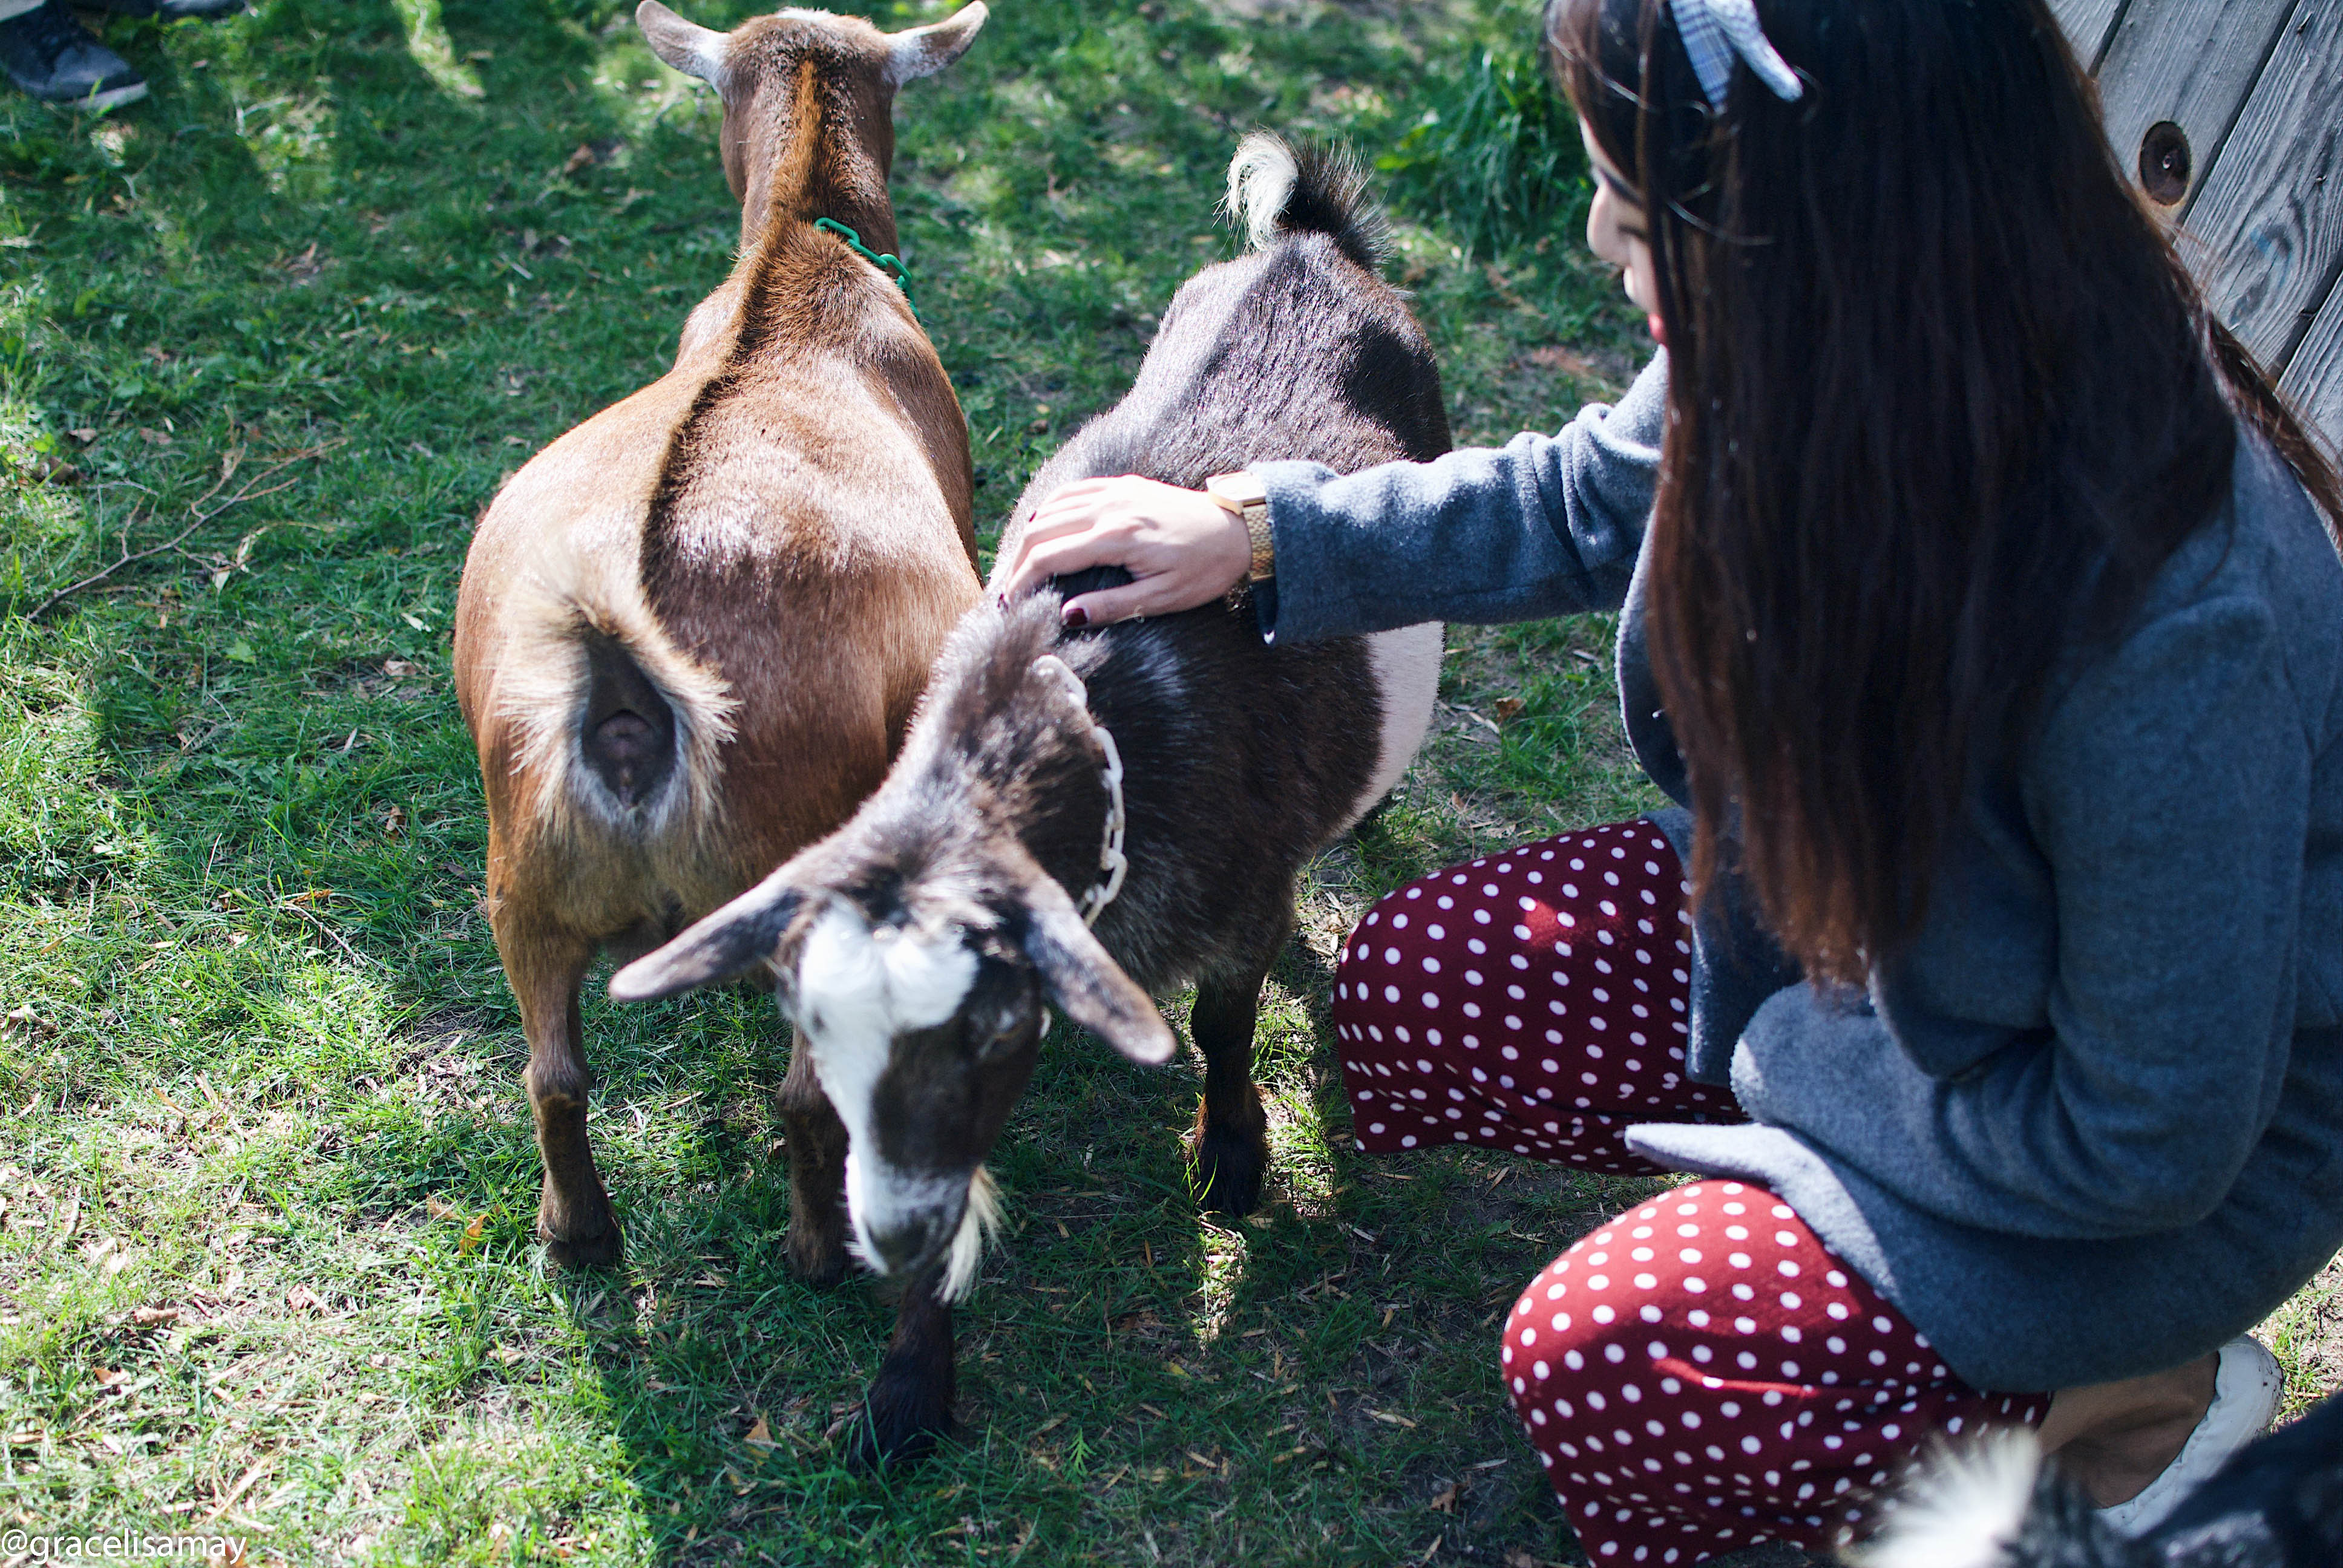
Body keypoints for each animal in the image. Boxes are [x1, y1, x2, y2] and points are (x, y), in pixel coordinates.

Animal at [452, 0, 984, 1275]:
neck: (799, 259)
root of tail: (631, 699)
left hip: (524, 878)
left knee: (552, 1074)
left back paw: (578, 1234)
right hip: (802, 882)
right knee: (805, 1094)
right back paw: (818, 1249)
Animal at [609, 131, 1443, 1453]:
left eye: (990, 1030)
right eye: (816, 1034)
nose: (889, 1228)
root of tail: (1309, 242)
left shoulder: (1246, 897)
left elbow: (1224, 1024)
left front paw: (1233, 1158)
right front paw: (908, 1385)